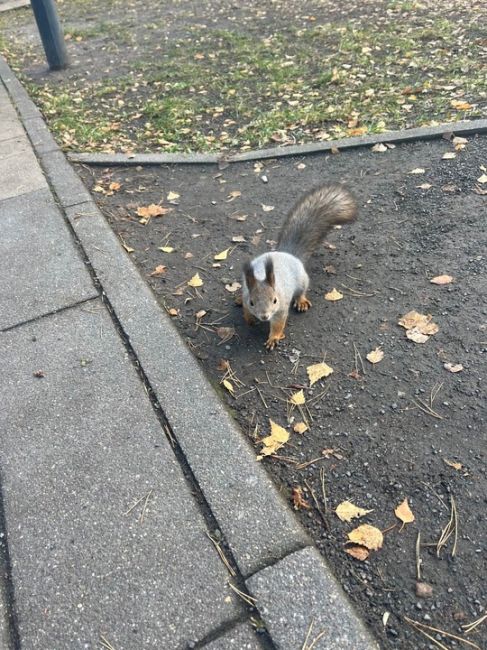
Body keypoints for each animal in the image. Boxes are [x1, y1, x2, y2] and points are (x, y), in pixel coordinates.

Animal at [242, 180, 356, 346]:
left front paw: (273, 338)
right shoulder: (245, 294)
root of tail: (287, 254)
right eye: (252, 302)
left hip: (302, 281)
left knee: (302, 291)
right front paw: (249, 319)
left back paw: (301, 301)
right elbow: (245, 310)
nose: (264, 316)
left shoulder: (281, 308)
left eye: (275, 300)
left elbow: (278, 324)